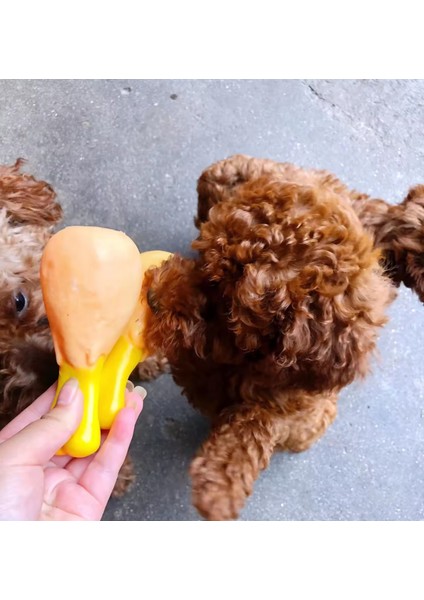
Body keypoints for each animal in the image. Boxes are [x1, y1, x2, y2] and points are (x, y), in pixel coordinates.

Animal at [142, 156, 398, 520]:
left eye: (226, 306)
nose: (152, 297)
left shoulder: (283, 402)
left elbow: (255, 424)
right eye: (203, 258)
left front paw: (220, 485)